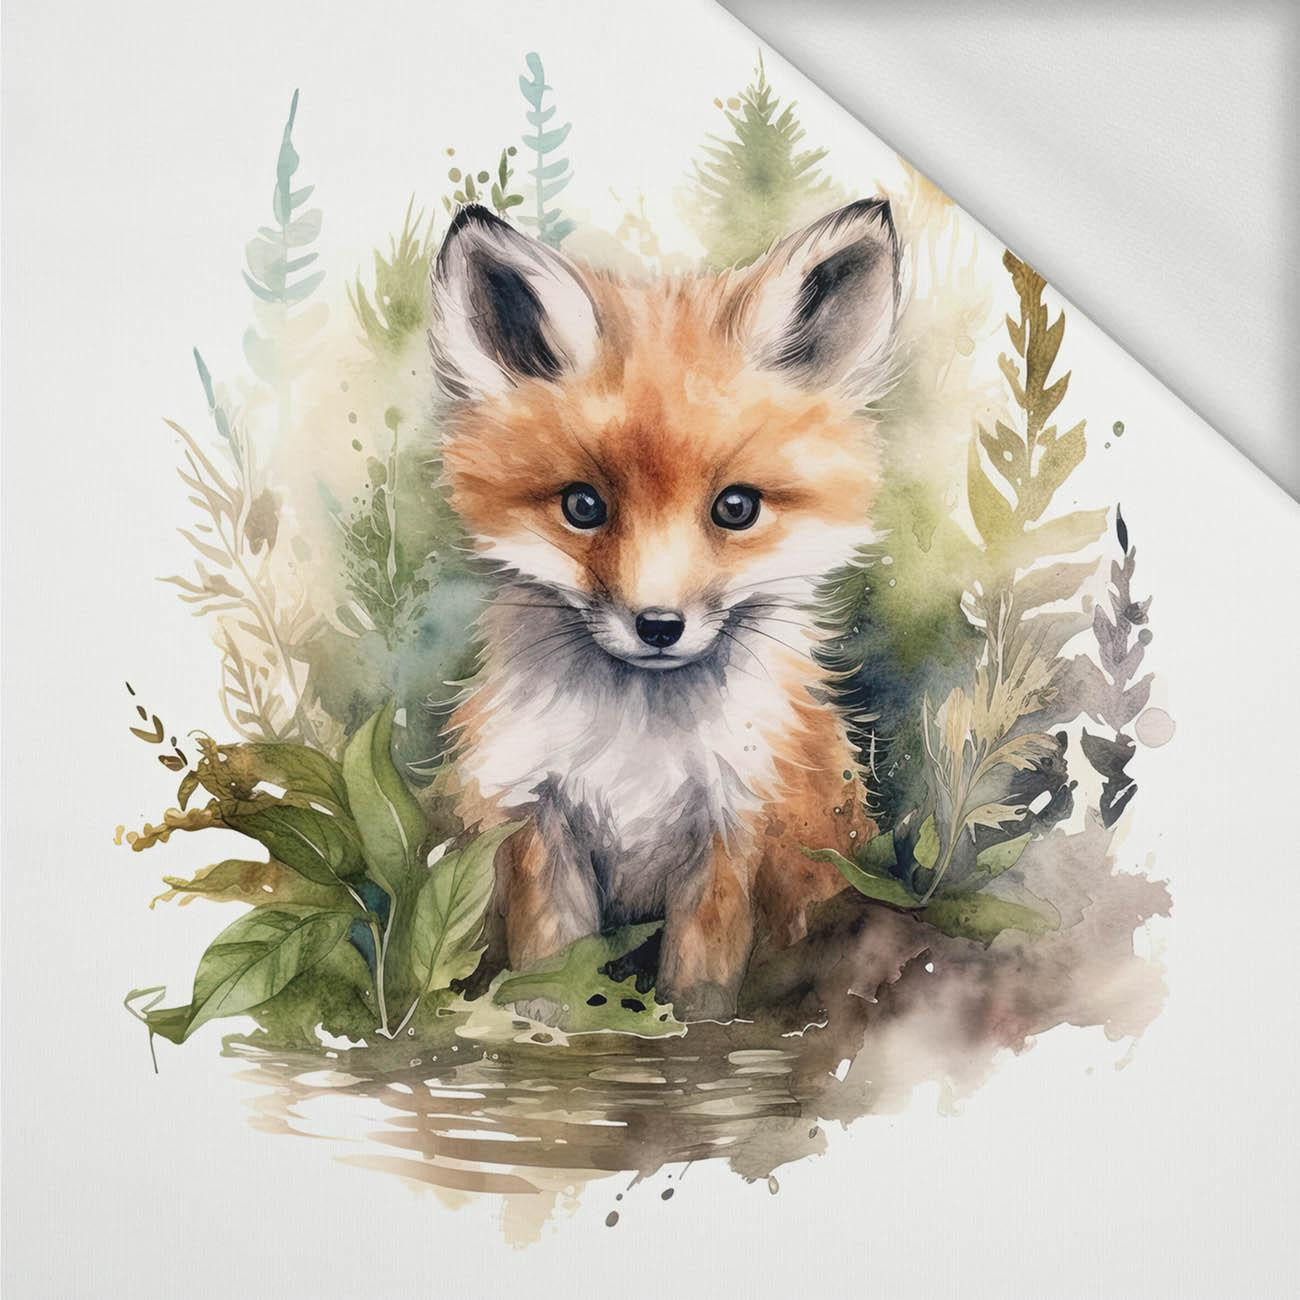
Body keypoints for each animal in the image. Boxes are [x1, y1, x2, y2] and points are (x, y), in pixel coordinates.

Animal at [428, 197, 901, 1021]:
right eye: (583, 507)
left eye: (736, 508)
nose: (658, 626)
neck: (638, 752)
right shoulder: (539, 824)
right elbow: (548, 978)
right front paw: (544, 1040)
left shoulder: (732, 830)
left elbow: (699, 995)